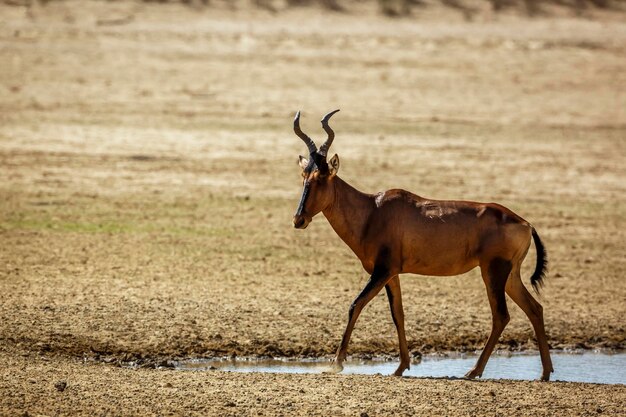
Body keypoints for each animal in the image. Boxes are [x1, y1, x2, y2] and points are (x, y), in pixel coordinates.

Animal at [292, 109, 552, 380]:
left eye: (322, 177)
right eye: (304, 176)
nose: (299, 220)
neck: (373, 211)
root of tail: (526, 223)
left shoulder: (382, 271)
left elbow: (356, 305)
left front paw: (337, 363)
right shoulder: (391, 273)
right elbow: (398, 315)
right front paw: (400, 367)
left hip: (493, 271)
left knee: (501, 315)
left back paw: (473, 371)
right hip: (510, 275)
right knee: (535, 308)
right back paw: (545, 373)